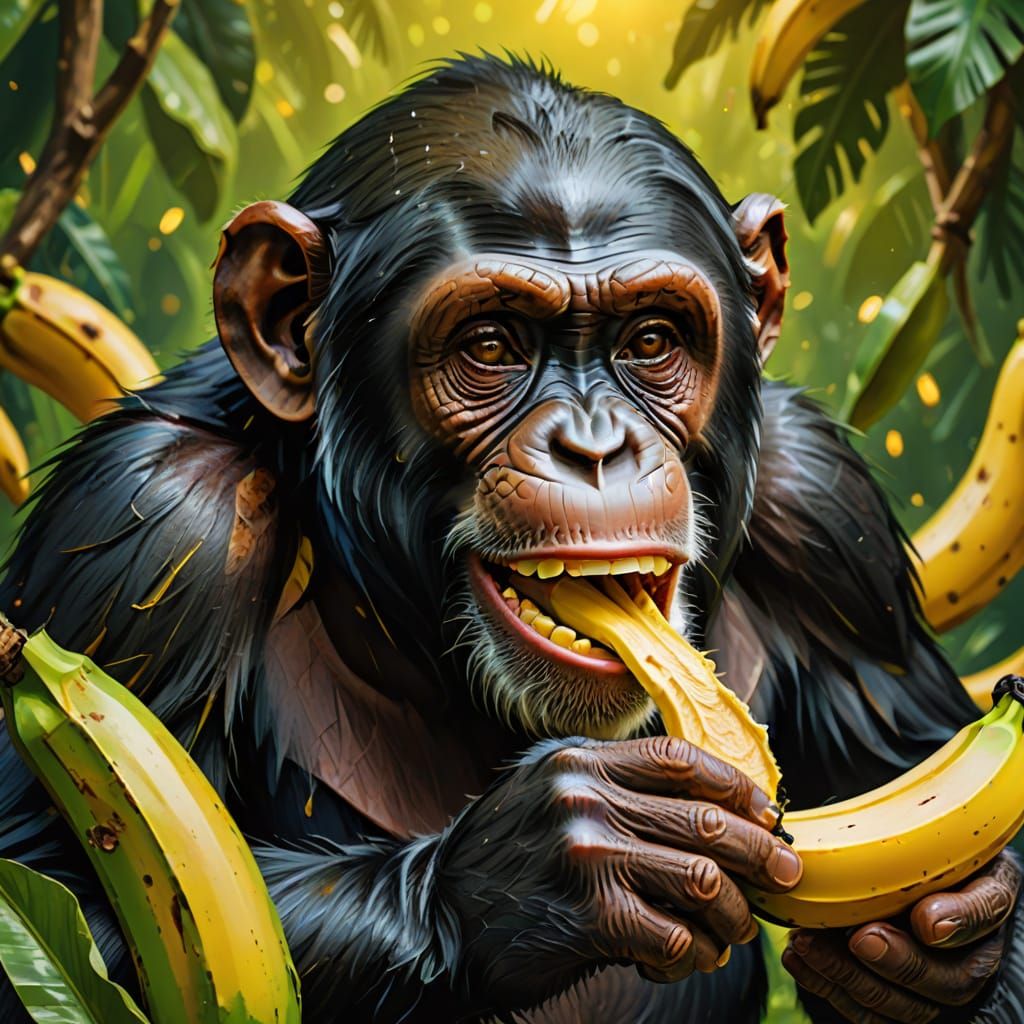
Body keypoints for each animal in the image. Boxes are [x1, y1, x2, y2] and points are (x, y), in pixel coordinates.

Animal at [0, 54, 1020, 1024]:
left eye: (651, 340)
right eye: (491, 346)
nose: (594, 445)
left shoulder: (831, 524)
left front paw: (950, 941)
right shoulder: (149, 526)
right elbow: (60, 902)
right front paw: (540, 873)